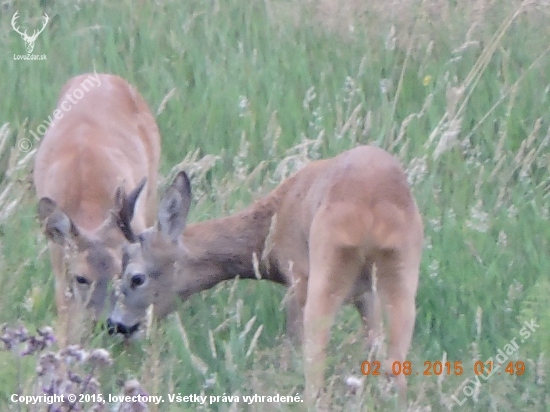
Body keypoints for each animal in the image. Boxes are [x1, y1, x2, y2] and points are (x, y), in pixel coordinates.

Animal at [34, 73, 161, 344]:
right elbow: (67, 329)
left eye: (121, 274)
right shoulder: (60, 265)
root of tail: (101, 75)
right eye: (82, 278)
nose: (111, 324)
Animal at [109, 145, 426, 402]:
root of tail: (372, 209)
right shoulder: (365, 293)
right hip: (402, 273)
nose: (116, 325)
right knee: (395, 366)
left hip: (325, 268)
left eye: (136, 278)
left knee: (315, 362)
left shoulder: (297, 276)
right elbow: (374, 346)